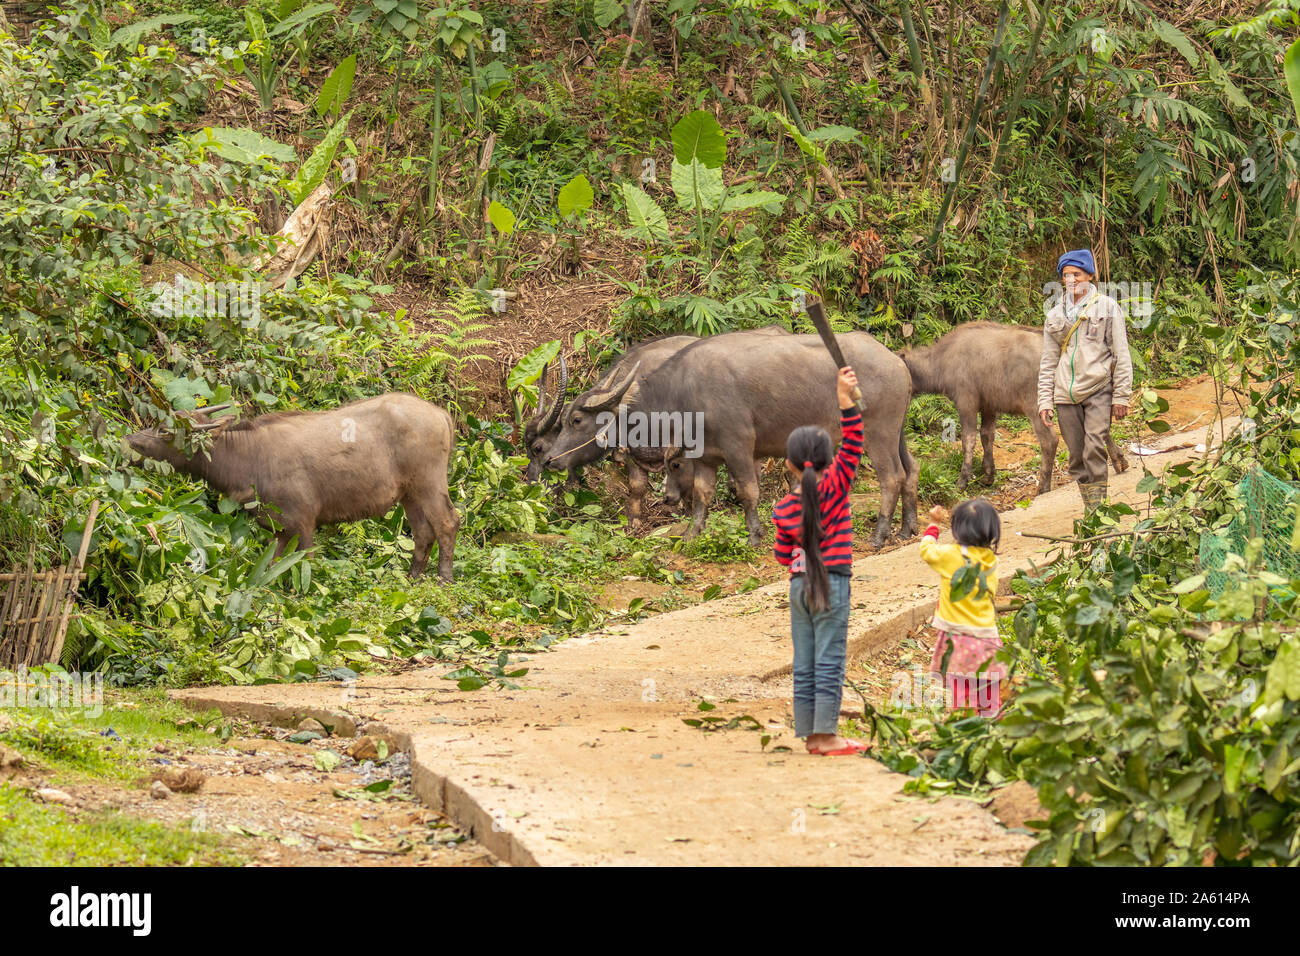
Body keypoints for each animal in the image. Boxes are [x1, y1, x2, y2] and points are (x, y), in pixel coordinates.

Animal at [125, 392, 462, 580]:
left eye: (166, 431)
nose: (131, 440)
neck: (249, 455)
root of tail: (441, 414)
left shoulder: (304, 523)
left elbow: (305, 564)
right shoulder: (279, 529)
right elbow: (273, 566)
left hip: (429, 483)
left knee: (448, 521)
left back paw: (444, 578)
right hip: (409, 493)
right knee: (423, 532)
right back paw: (413, 577)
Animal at [543, 332, 920, 548]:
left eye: (576, 420)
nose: (550, 459)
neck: (682, 393)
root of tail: (894, 360)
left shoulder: (739, 446)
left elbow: (747, 490)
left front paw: (754, 535)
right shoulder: (705, 456)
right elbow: (702, 494)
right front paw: (692, 533)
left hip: (877, 431)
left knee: (891, 477)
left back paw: (879, 536)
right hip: (897, 432)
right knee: (911, 470)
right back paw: (907, 528)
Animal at [904, 325, 1128, 496]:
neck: (942, 360)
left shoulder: (966, 402)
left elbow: (968, 440)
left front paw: (962, 481)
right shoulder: (989, 406)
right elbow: (987, 436)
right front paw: (988, 475)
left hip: (1036, 407)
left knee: (1050, 441)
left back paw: (1043, 486)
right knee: (1099, 428)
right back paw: (1119, 460)